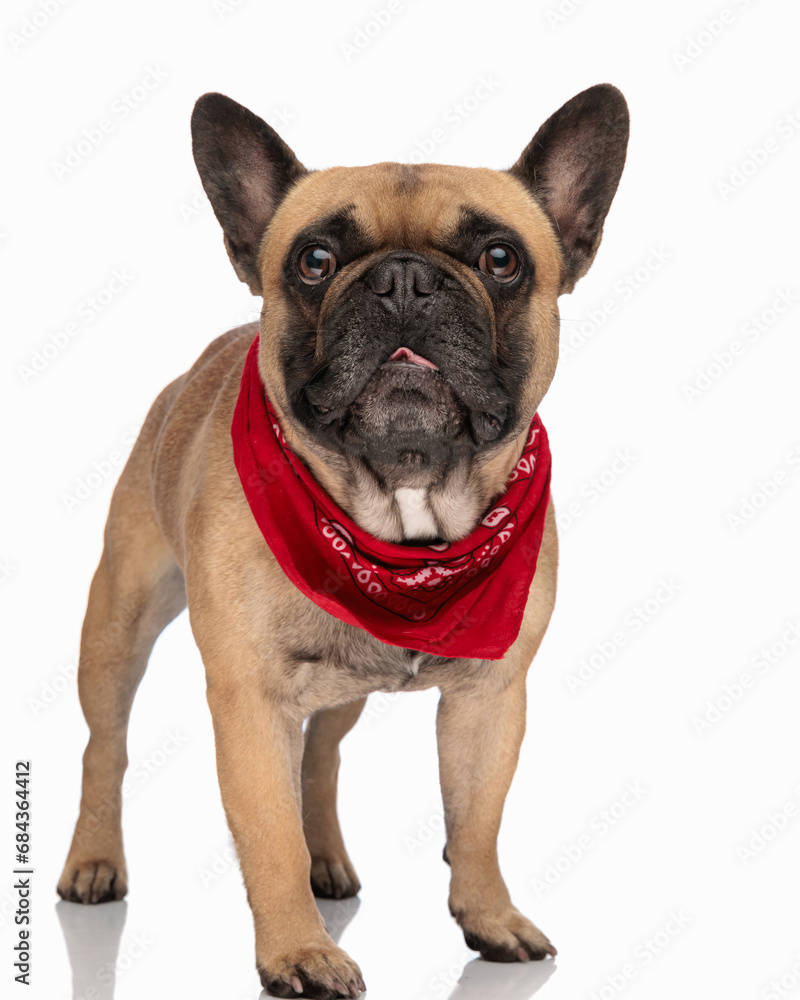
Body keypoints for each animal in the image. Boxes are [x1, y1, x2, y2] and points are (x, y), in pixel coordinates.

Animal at [57, 84, 632, 1000]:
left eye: (501, 259)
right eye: (316, 260)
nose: (403, 279)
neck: (400, 509)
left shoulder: (491, 698)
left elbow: (477, 820)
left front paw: (490, 917)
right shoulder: (248, 701)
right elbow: (268, 835)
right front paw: (299, 953)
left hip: (337, 687)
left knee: (320, 760)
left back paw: (328, 860)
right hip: (119, 621)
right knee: (104, 747)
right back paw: (93, 862)